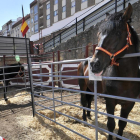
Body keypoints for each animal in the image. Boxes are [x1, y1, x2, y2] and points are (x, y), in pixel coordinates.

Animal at [78, 3, 139, 140]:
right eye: (99, 34)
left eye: (118, 32)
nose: (94, 64)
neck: (125, 79)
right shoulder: (110, 101)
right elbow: (111, 125)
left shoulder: (129, 104)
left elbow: (122, 124)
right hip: (83, 86)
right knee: (84, 101)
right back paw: (84, 119)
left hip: (91, 88)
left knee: (89, 101)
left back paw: (89, 115)